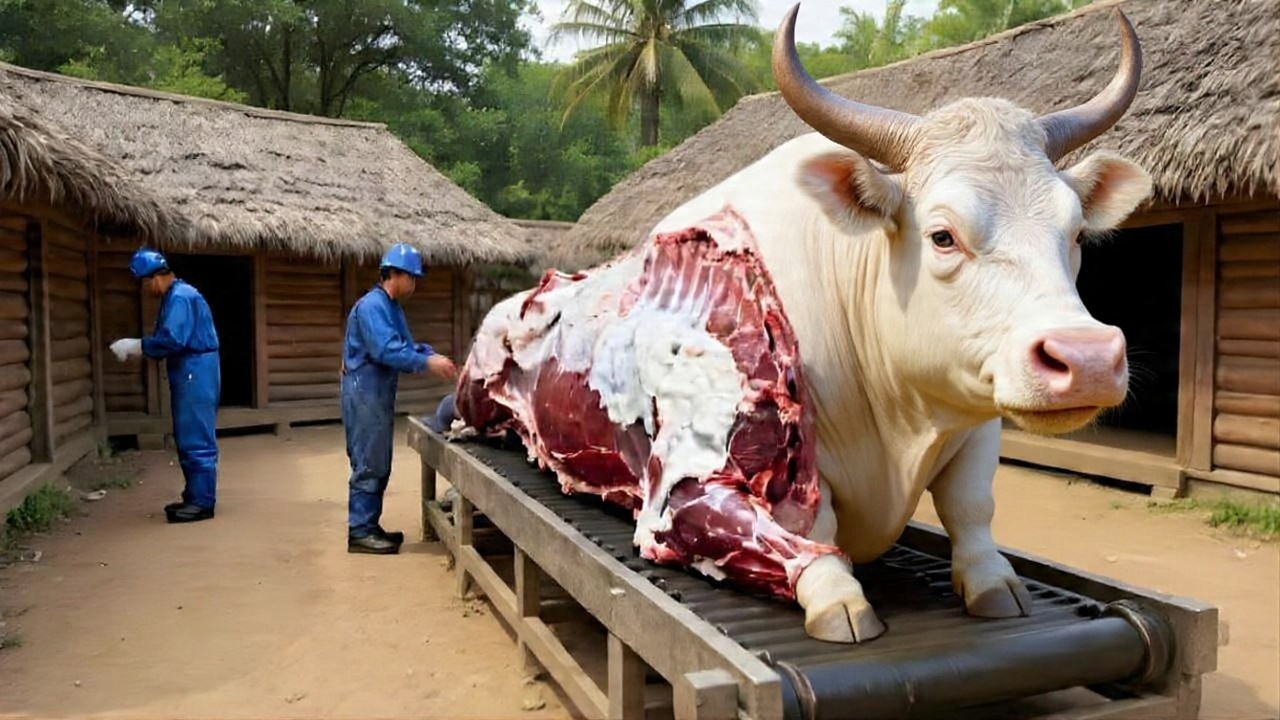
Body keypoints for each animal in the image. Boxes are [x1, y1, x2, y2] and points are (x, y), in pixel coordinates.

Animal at [449, 3, 1153, 644]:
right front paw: (839, 599)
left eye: (1076, 232)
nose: (1088, 359)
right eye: (943, 235)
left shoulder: (976, 414)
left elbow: (971, 505)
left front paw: (993, 582)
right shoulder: (683, 489)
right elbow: (807, 538)